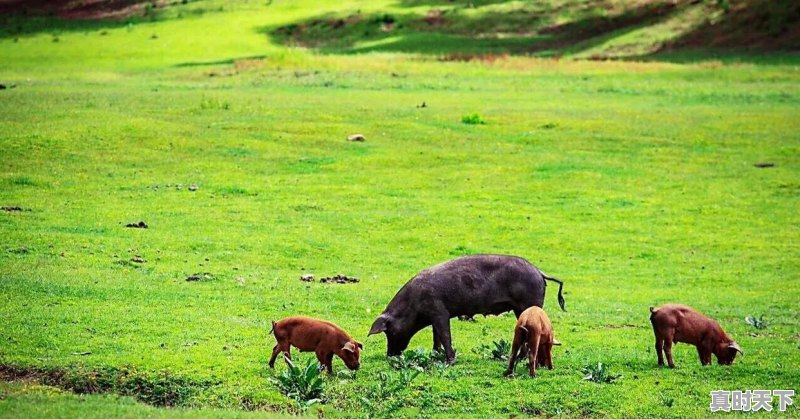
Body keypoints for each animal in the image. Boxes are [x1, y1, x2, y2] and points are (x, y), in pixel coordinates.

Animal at [366, 254, 564, 362]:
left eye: (389, 332)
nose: (389, 355)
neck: (413, 304)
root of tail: (540, 272)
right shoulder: (434, 316)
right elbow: (436, 337)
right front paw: (435, 354)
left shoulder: (440, 312)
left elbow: (445, 335)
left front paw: (449, 361)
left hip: (528, 303)